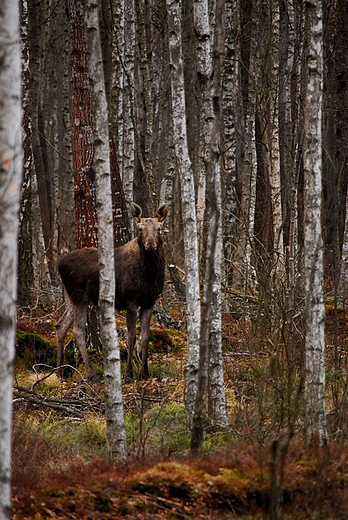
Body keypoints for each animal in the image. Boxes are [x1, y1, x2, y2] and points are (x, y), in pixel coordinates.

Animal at [56, 202, 169, 382]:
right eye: (140, 229)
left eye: (159, 228)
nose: (150, 245)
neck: (150, 274)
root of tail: (58, 264)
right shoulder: (131, 300)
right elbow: (131, 336)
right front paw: (129, 374)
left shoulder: (149, 301)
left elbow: (145, 336)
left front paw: (144, 373)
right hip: (79, 295)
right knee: (77, 330)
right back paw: (93, 375)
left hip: (69, 297)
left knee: (61, 325)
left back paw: (59, 372)